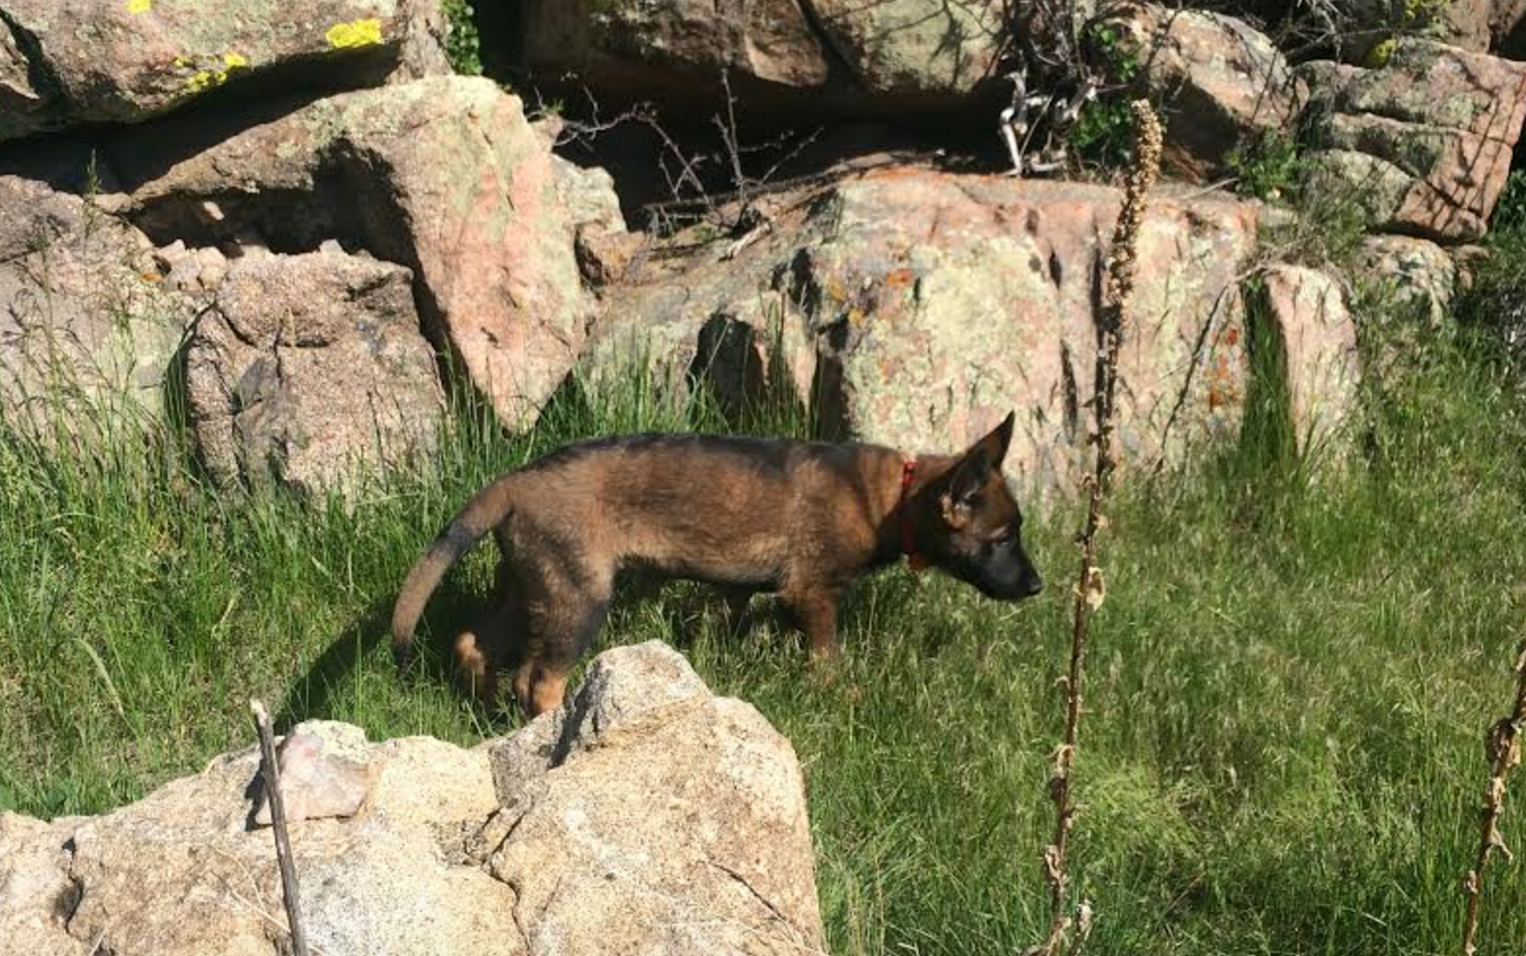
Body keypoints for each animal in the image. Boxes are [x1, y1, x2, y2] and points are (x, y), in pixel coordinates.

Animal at [387, 409, 1043, 714]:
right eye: (1003, 538)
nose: (1037, 587)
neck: (888, 498)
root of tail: (515, 483)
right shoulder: (811, 593)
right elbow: (827, 658)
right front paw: (838, 696)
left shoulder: (739, 587)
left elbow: (727, 618)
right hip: (578, 597)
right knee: (540, 679)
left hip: (529, 587)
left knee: (472, 640)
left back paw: (488, 705)